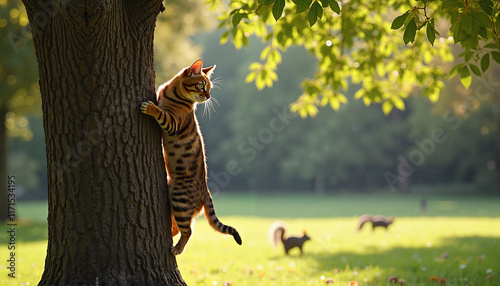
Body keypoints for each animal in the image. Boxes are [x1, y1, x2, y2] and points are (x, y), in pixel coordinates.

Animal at [141, 58, 242, 255]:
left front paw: (150, 108)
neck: (170, 92)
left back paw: (177, 249)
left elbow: (161, 113)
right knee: (176, 228)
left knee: (188, 230)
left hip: (179, 200)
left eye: (209, 88)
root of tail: (206, 191)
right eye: (202, 85)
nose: (208, 97)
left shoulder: (173, 123)